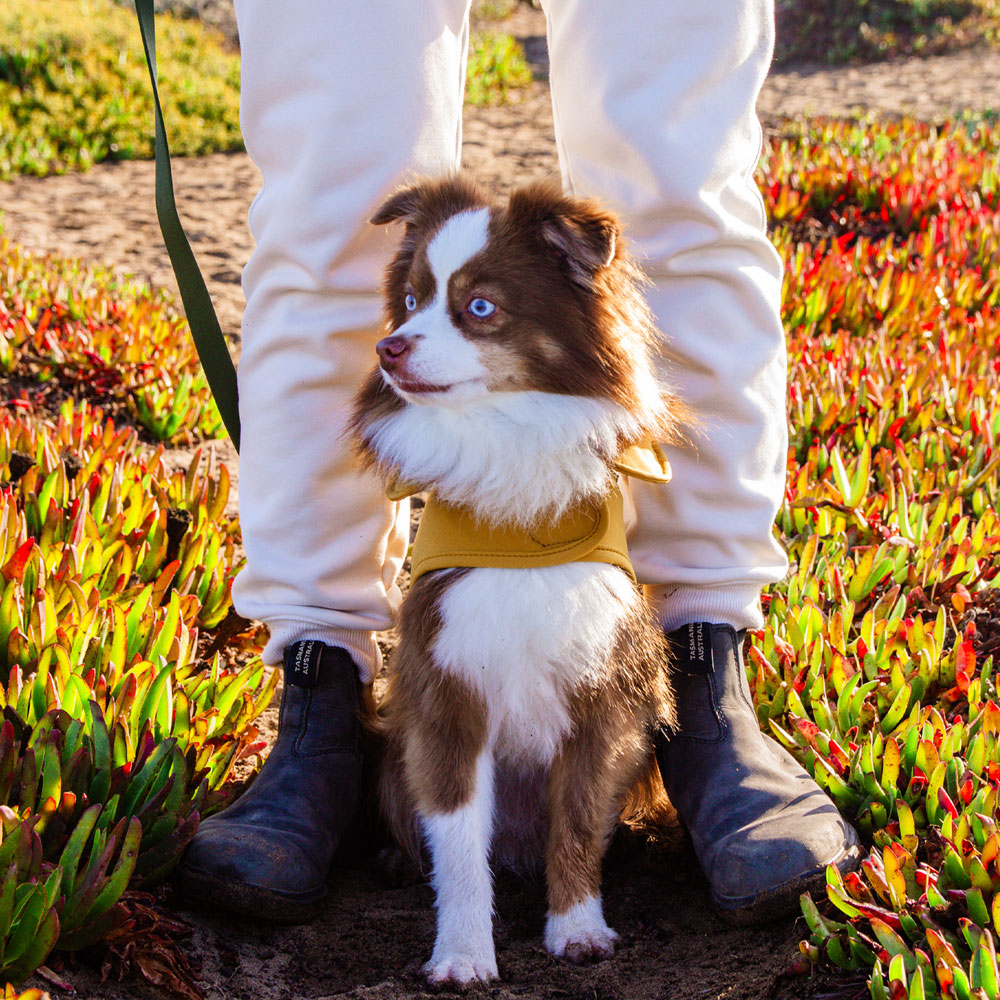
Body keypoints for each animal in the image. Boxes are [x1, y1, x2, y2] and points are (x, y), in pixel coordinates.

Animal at [351, 176, 685, 985]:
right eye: (411, 300)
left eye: (479, 307)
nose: (388, 347)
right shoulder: (448, 696)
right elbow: (459, 849)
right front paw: (464, 955)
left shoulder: (603, 697)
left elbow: (578, 825)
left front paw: (577, 929)